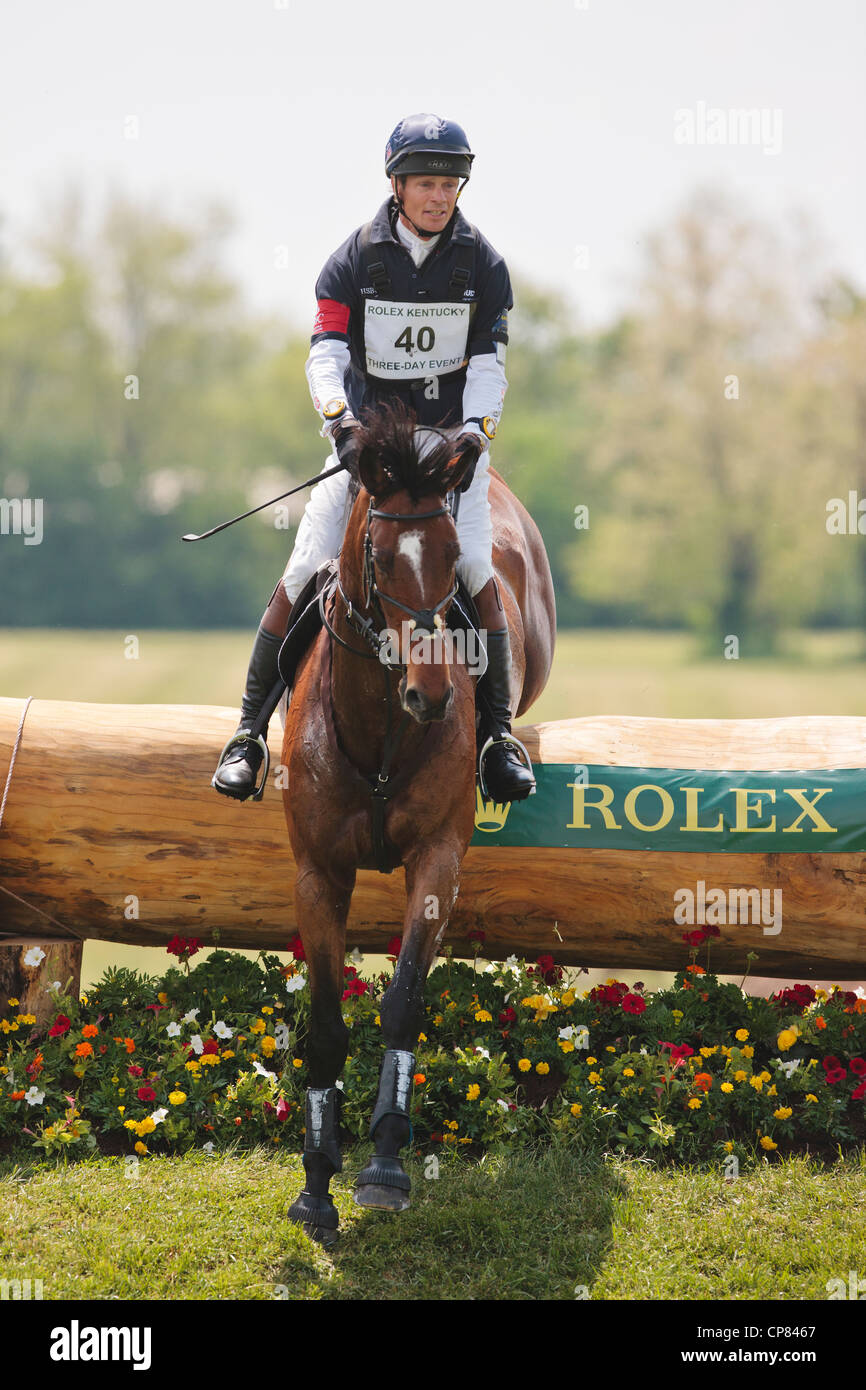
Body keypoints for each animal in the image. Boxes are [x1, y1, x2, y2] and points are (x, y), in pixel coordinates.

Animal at [284, 403, 556, 1239]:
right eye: (378, 557)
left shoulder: (438, 858)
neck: (378, 728)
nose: (432, 695)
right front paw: (316, 1181)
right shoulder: (318, 873)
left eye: (445, 557)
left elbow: (402, 1002)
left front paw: (384, 1165)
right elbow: (326, 1023)